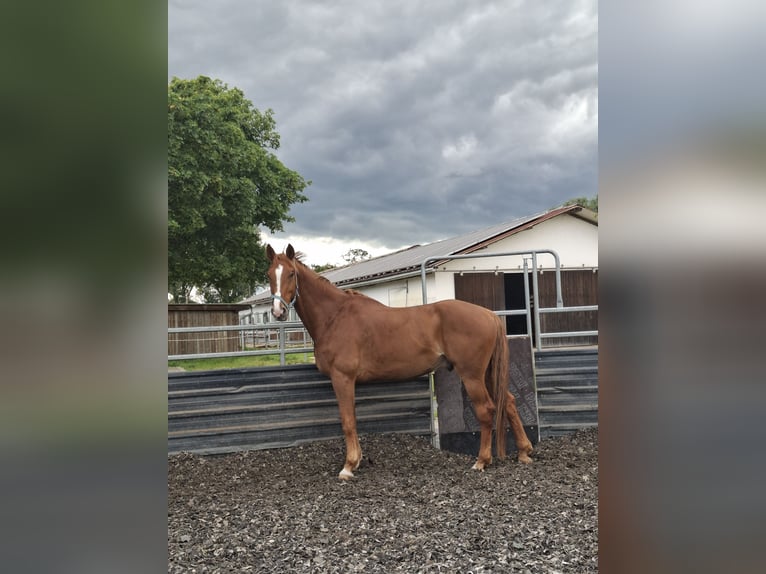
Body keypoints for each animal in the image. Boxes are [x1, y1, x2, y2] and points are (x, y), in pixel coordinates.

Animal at [266, 243, 534, 479]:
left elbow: (348, 421)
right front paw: (357, 460)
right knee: (509, 402)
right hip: (488, 373)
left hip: (472, 375)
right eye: (269, 275)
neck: (335, 316)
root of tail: (489, 314)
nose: (278, 311)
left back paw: (481, 461)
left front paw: (349, 466)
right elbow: (352, 419)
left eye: (291, 273)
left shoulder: (342, 378)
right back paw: (524, 451)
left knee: (486, 410)